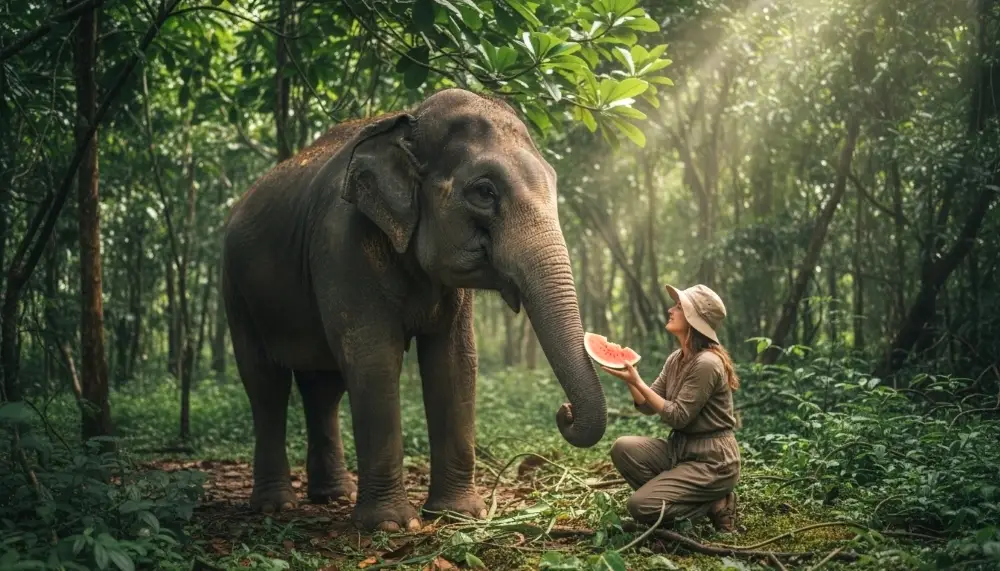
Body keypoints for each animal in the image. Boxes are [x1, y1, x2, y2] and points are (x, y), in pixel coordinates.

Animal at [220, 88, 607, 532]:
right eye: (484, 192)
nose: (564, 412)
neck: (406, 122)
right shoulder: (341, 244)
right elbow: (374, 357)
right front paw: (390, 525)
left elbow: (455, 361)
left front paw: (459, 515)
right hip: (235, 288)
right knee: (265, 383)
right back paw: (275, 506)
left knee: (323, 387)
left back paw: (334, 496)